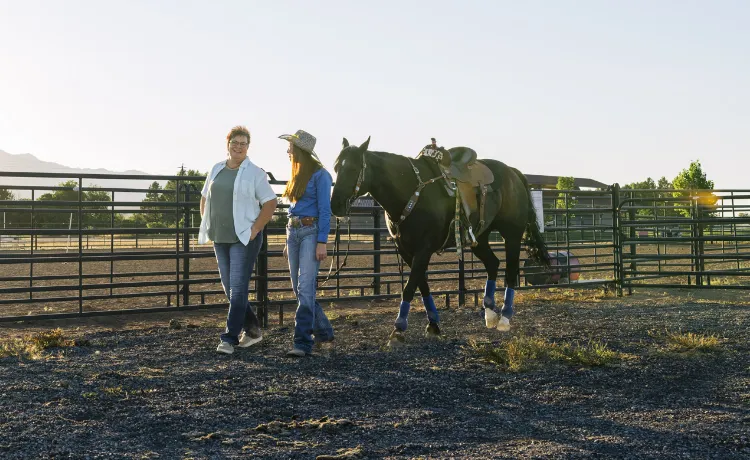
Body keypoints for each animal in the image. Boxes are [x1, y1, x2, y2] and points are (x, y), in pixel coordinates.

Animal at [332, 135, 548, 344]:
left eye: (352, 168)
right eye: (335, 168)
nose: (335, 205)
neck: (411, 191)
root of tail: (513, 173)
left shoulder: (424, 249)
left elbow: (409, 288)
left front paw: (398, 329)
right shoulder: (406, 250)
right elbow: (422, 285)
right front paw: (433, 324)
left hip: (512, 235)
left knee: (510, 271)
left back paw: (504, 318)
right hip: (479, 238)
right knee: (493, 264)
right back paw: (489, 313)